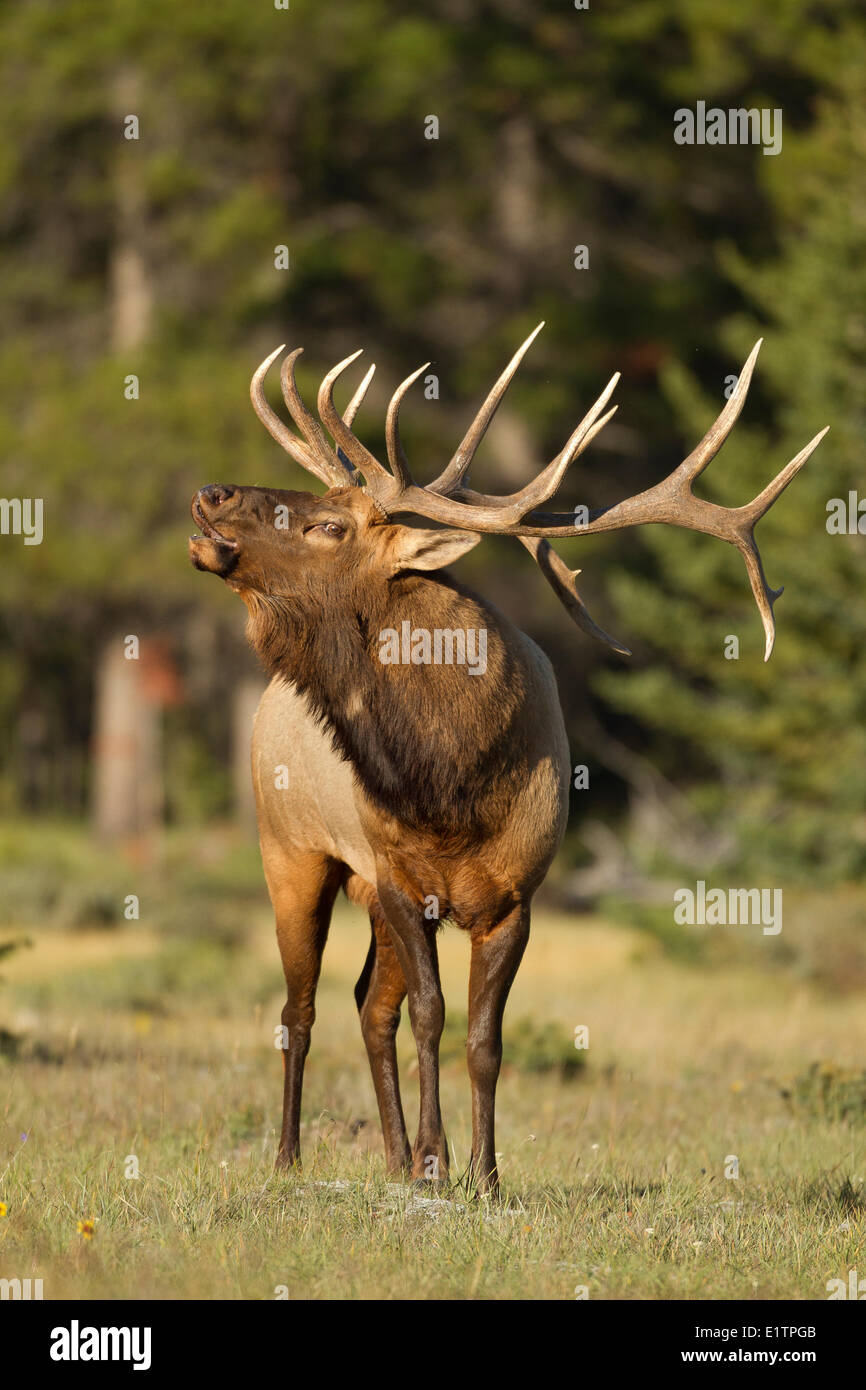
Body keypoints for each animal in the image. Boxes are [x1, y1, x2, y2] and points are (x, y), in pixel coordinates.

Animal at [189, 324, 826, 1193]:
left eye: (330, 526)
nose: (211, 492)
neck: (450, 782)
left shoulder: (516, 897)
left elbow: (485, 1038)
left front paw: (481, 1174)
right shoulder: (400, 880)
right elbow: (431, 1016)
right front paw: (438, 1162)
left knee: (365, 1004)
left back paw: (389, 1158)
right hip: (291, 850)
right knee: (301, 1009)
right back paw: (290, 1158)